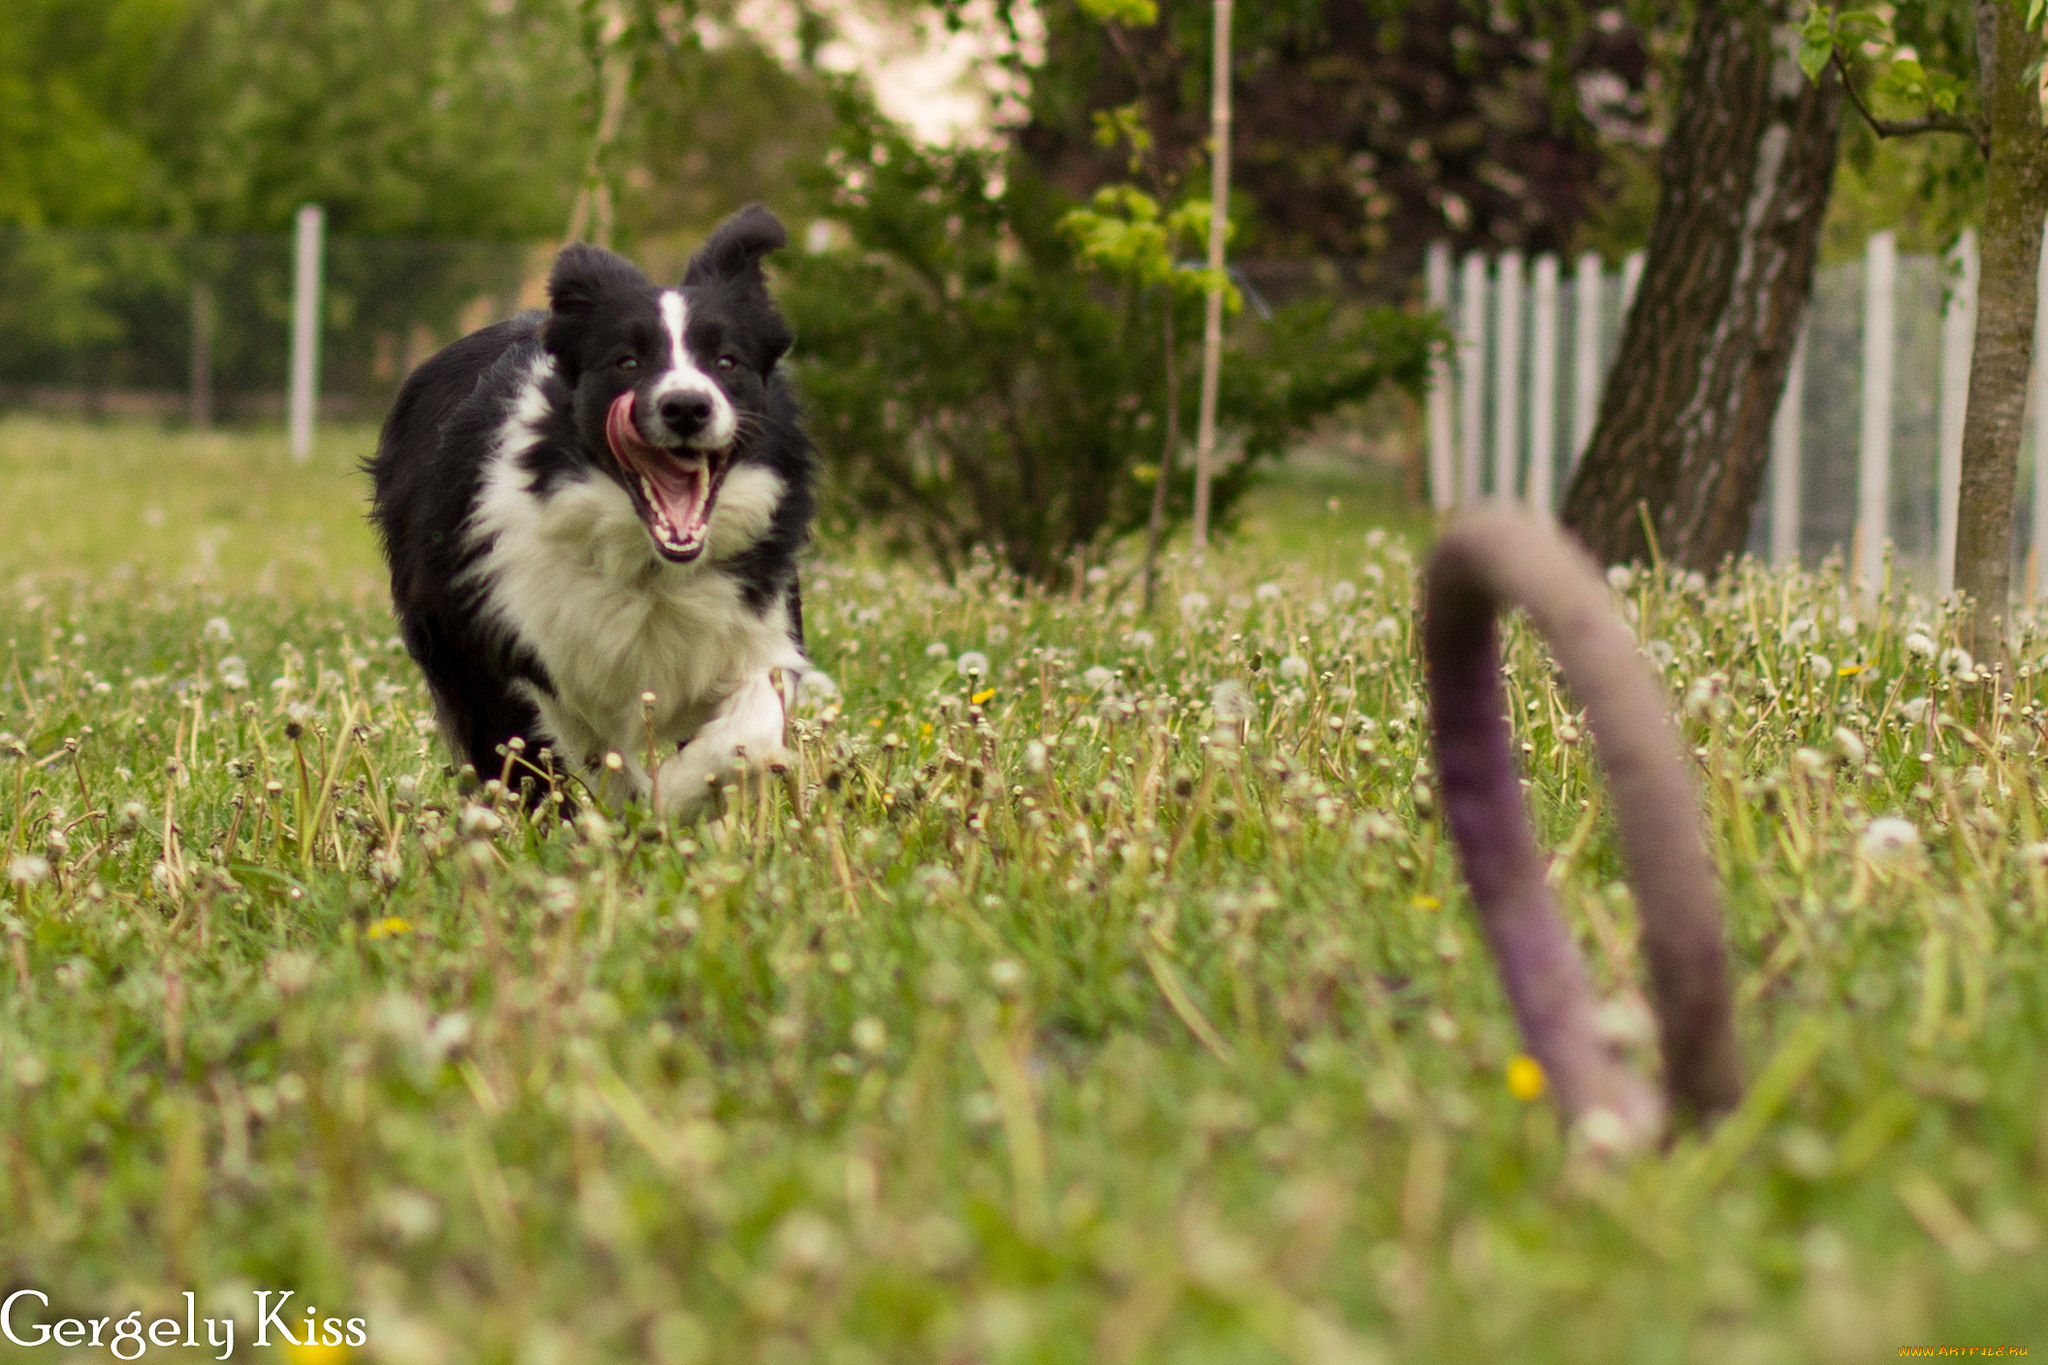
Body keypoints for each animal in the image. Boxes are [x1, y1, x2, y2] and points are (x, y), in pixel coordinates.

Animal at [368, 206, 815, 818]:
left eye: (727, 361)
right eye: (626, 361)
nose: (686, 407)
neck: (652, 569)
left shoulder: (755, 624)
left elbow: (747, 729)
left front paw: (676, 792)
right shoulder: (523, 641)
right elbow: (579, 750)